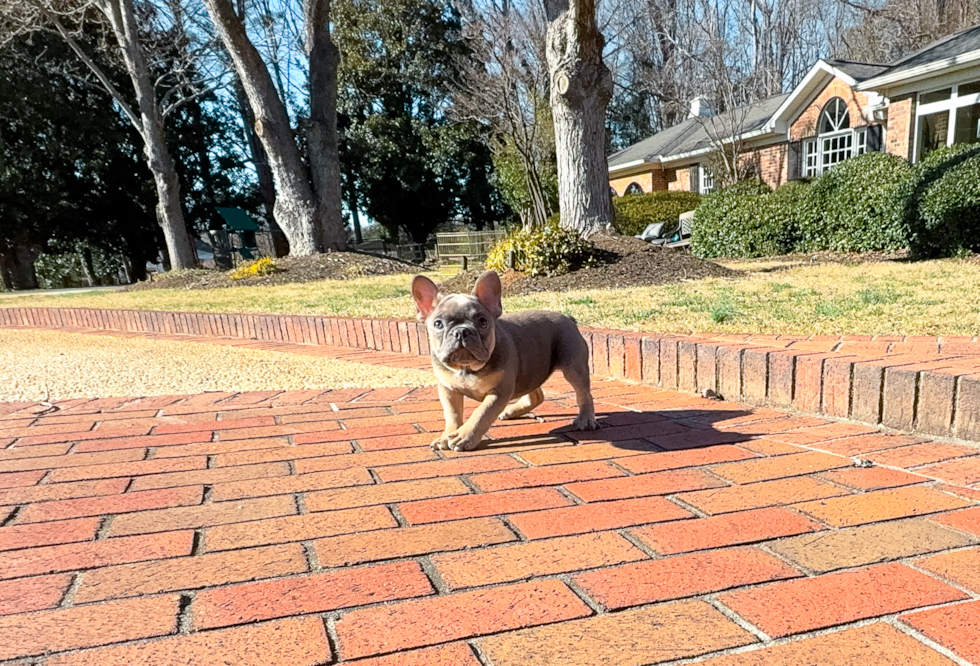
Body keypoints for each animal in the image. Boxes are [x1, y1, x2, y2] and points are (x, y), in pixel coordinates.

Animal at [412, 270, 600, 452]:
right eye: (438, 324)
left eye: (482, 322)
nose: (461, 331)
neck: (466, 369)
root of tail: (568, 318)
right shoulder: (448, 389)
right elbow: (452, 414)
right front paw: (447, 436)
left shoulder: (499, 391)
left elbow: (481, 413)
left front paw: (464, 437)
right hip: (529, 369)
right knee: (536, 395)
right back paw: (512, 411)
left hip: (573, 366)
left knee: (584, 393)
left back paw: (585, 419)